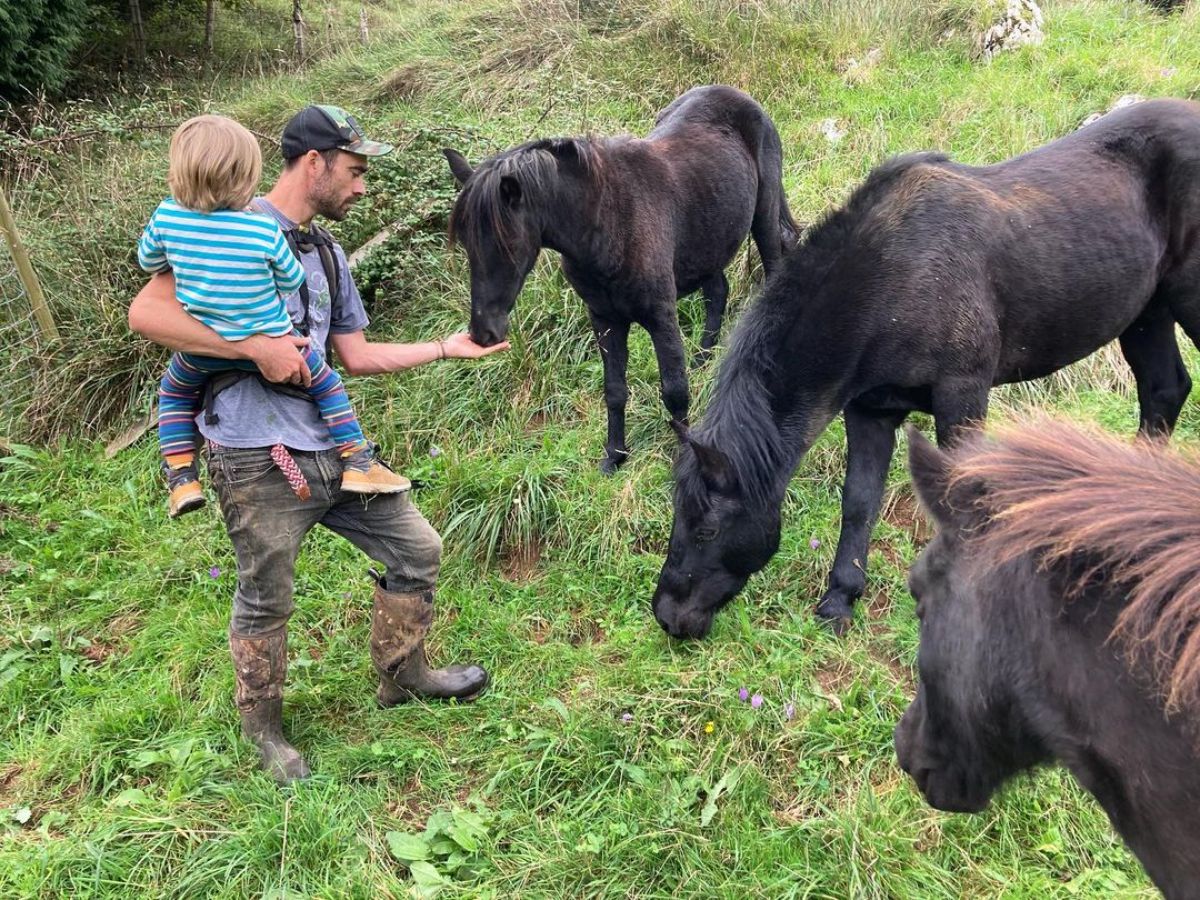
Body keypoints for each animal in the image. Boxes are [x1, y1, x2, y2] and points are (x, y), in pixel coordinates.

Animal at [441, 85, 796, 475]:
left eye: (508, 244)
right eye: (467, 244)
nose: (483, 333)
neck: (609, 223)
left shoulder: (661, 316)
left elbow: (674, 389)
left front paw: (685, 457)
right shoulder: (605, 320)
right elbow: (614, 389)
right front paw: (614, 455)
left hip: (763, 215)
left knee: (772, 269)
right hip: (710, 237)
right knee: (717, 293)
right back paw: (703, 359)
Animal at [652, 98, 1200, 643]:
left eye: (706, 528)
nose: (668, 616)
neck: (893, 282)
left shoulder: (962, 394)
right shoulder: (870, 411)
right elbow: (859, 502)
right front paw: (839, 599)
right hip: (1147, 313)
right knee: (1163, 391)